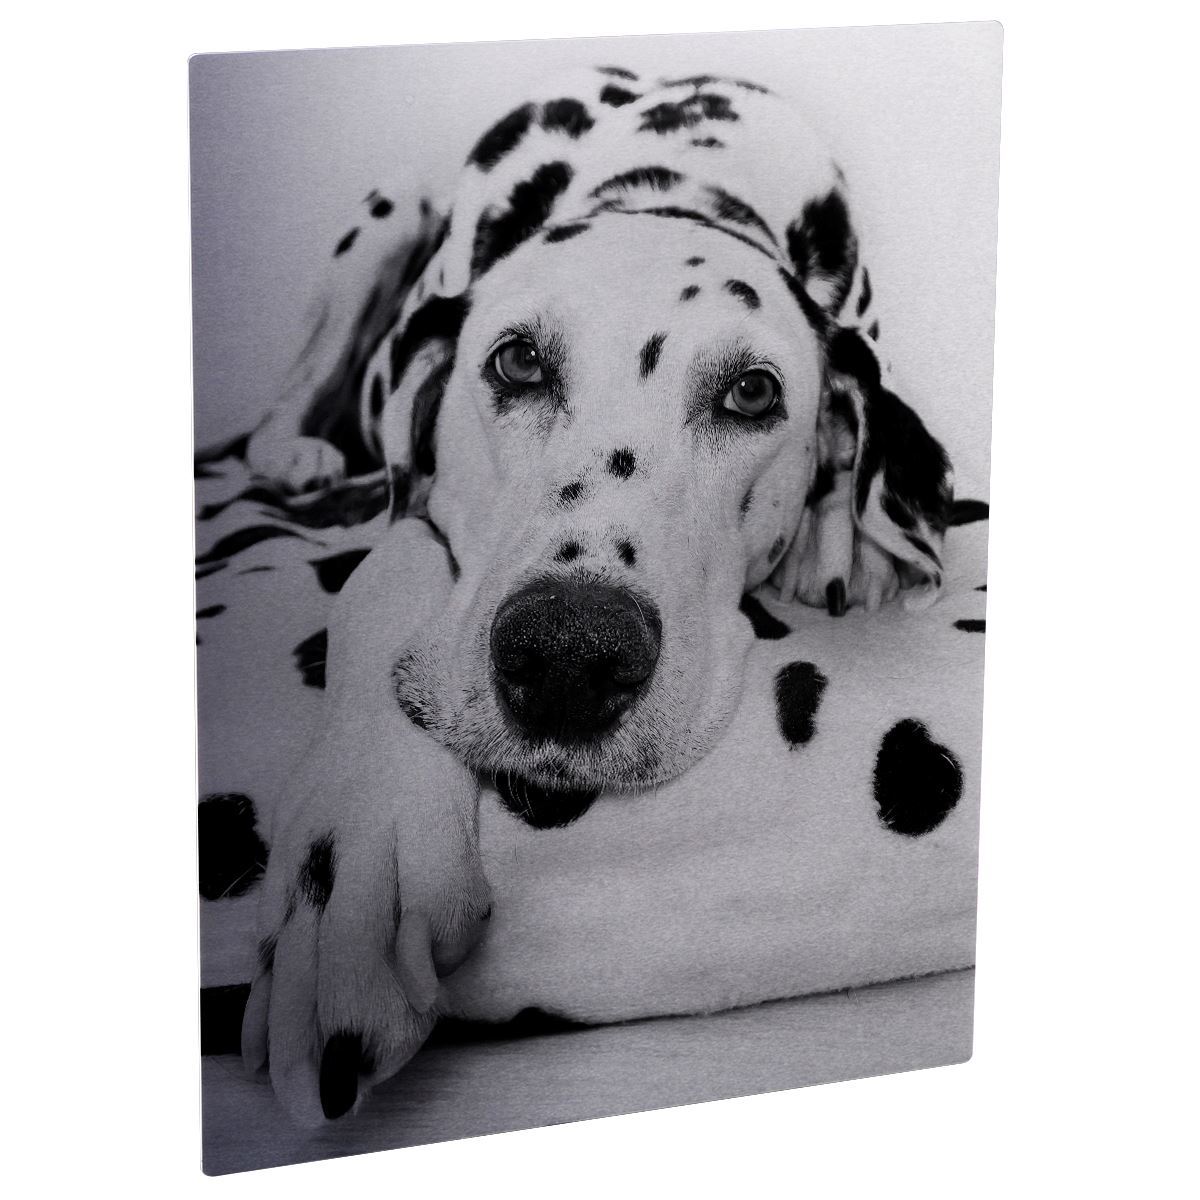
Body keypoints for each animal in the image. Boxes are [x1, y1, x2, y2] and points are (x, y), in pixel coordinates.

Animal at [238, 66, 954, 1125]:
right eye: (517, 361)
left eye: (752, 393)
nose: (570, 657)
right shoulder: (417, 515)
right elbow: (387, 568)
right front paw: (353, 873)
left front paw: (848, 540)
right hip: (384, 218)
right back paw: (296, 453)